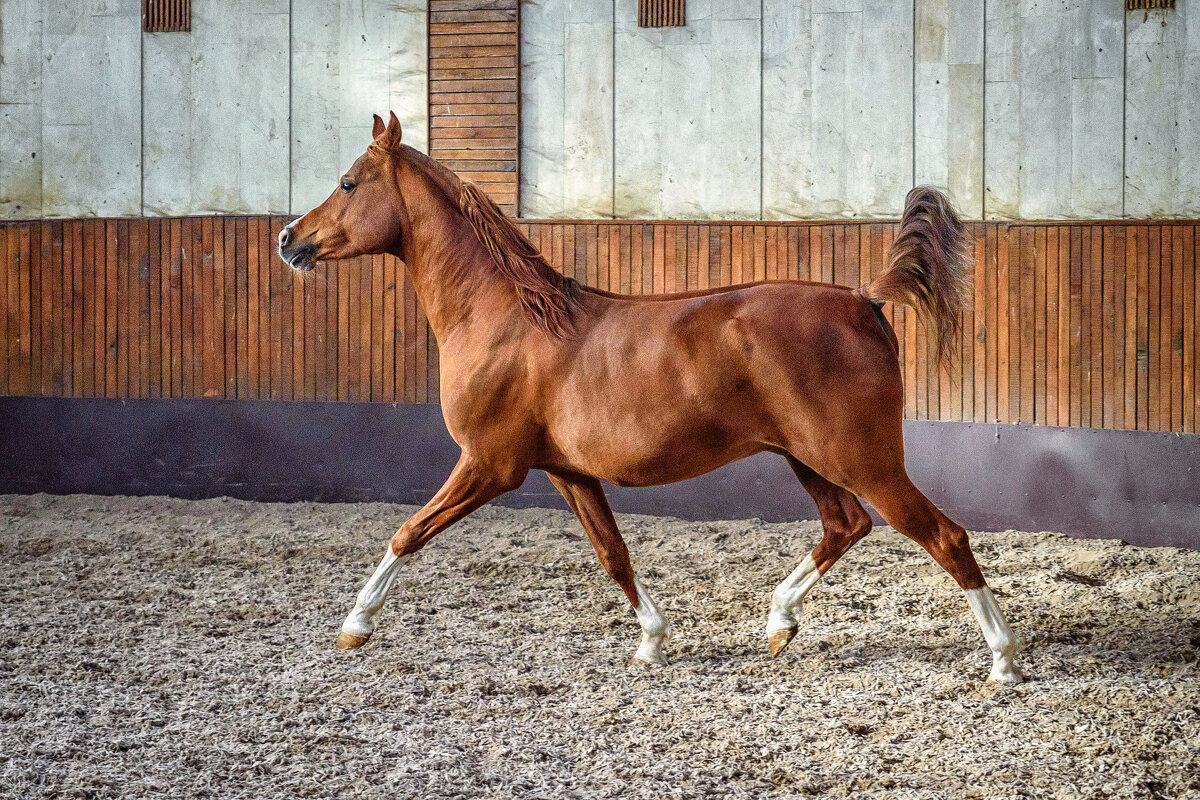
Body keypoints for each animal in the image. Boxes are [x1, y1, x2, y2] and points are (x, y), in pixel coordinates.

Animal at [278, 112, 1022, 686]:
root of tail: (864, 301)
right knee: (846, 525)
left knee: (944, 536)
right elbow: (614, 555)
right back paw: (778, 623)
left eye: (347, 183)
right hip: (808, 458)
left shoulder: (490, 465)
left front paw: (354, 625)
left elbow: (408, 531)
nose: (289, 239)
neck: (504, 319)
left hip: (863, 460)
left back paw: (1004, 664)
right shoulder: (568, 472)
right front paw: (651, 643)